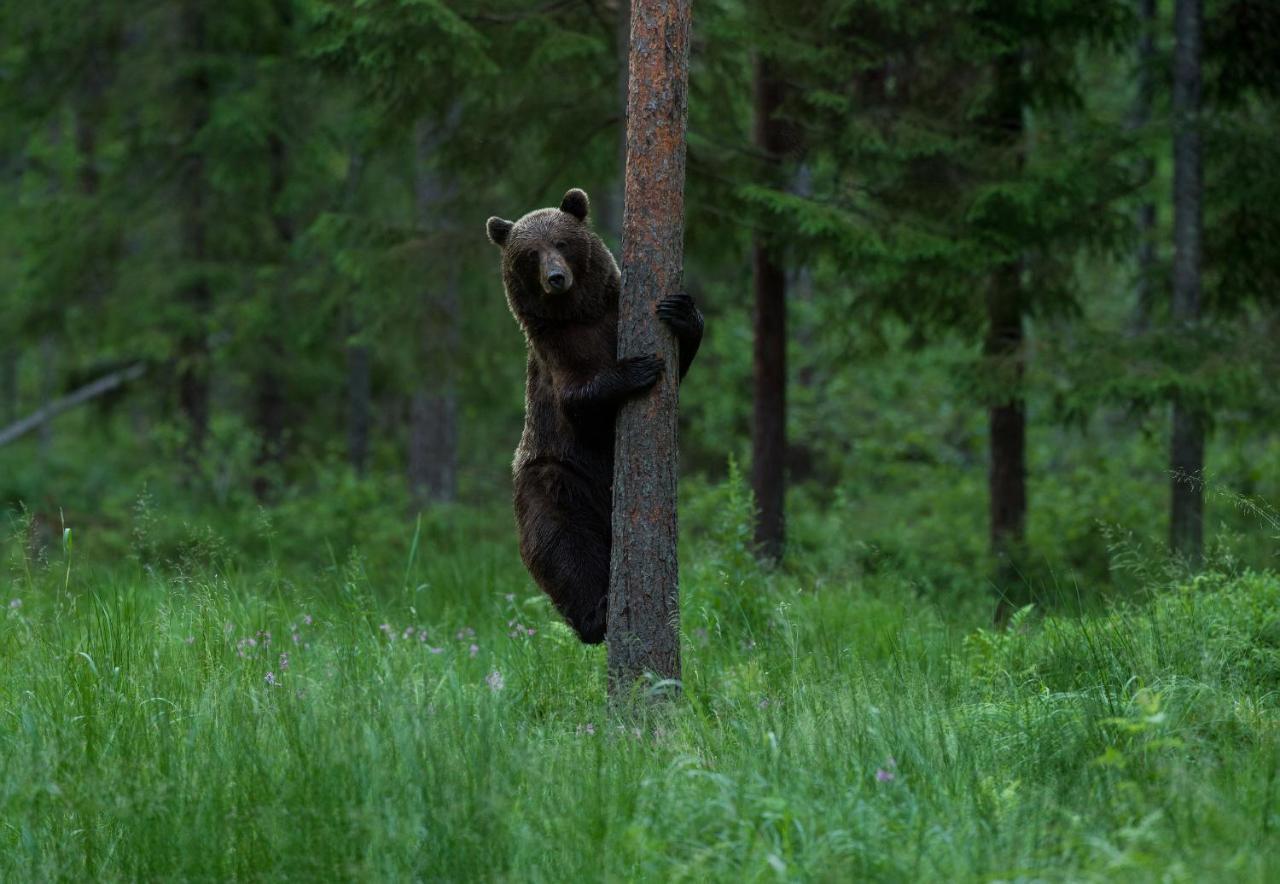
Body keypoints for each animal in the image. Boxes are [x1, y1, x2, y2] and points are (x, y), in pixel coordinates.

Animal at [481, 186, 701, 642]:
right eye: (530, 253)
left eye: (562, 243)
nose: (556, 278)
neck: (579, 315)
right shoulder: (556, 354)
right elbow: (577, 402)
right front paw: (635, 369)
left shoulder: (612, 314)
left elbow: (678, 359)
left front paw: (684, 313)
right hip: (556, 477)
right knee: (562, 545)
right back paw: (596, 617)